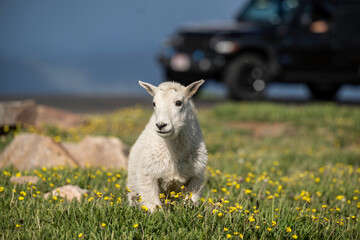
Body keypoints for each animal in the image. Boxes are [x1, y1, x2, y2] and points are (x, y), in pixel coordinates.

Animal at [128, 80, 208, 212]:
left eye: (178, 102)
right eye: (154, 103)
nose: (161, 125)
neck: (175, 153)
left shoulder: (196, 177)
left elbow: (190, 201)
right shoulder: (148, 176)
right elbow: (153, 205)